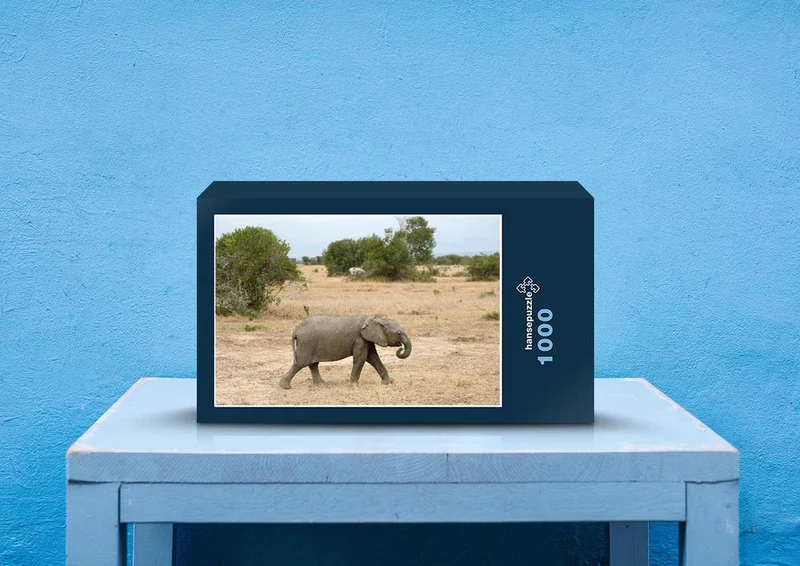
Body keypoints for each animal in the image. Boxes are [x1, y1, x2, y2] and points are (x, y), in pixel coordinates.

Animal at [278, 315, 412, 389]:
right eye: (399, 333)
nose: (400, 348)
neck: (375, 318)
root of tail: (296, 330)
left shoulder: (366, 339)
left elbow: (372, 357)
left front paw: (390, 382)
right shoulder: (360, 338)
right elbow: (361, 358)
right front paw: (354, 386)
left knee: (312, 364)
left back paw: (322, 385)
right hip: (307, 343)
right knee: (300, 363)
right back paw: (285, 387)